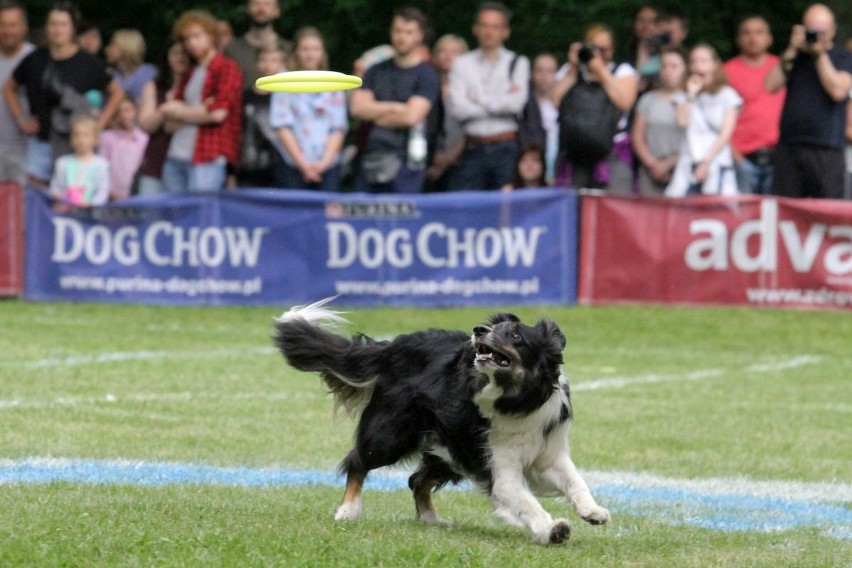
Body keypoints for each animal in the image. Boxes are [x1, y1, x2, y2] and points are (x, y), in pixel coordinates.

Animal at [276, 300, 608, 544]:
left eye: (515, 334)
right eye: (492, 327)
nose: (479, 330)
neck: (518, 399)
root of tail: (392, 347)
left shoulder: (548, 452)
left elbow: (574, 480)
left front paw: (593, 510)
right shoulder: (498, 466)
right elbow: (525, 501)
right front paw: (551, 529)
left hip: (450, 447)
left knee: (417, 480)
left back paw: (432, 519)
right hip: (392, 434)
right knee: (358, 461)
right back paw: (348, 510)